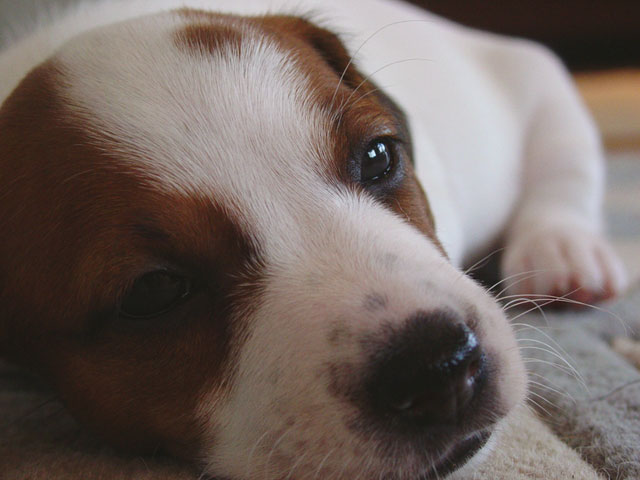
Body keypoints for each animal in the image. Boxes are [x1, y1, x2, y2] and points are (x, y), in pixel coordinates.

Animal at [0, 0, 627, 478]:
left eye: (378, 157)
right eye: (154, 291)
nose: (439, 365)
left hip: (547, 94)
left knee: (565, 175)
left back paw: (564, 253)